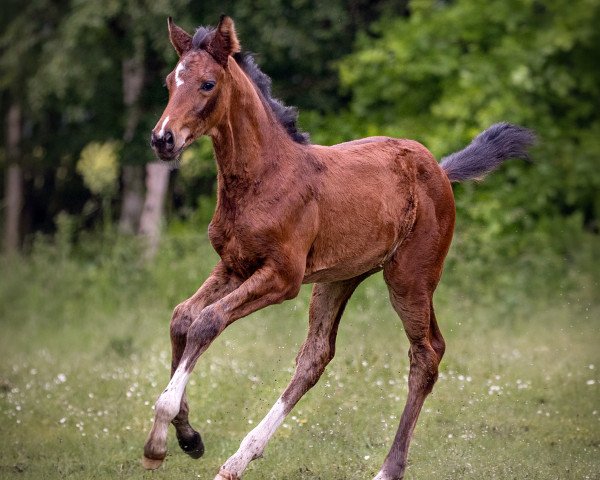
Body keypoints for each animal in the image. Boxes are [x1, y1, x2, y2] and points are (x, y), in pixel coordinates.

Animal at [143, 15, 536, 480]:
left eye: (207, 84)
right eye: (170, 81)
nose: (163, 139)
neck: (264, 176)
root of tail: (440, 169)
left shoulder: (282, 277)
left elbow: (207, 321)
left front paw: (161, 432)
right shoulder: (234, 265)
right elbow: (182, 317)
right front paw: (186, 437)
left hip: (410, 277)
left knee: (426, 354)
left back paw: (387, 469)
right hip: (339, 277)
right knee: (315, 355)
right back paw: (238, 459)